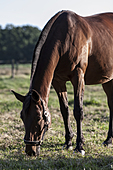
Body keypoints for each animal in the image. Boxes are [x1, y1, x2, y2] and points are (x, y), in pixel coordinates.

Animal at [11, 9, 112, 155]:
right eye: (22, 116)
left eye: (38, 117)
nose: (31, 150)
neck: (65, 38)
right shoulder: (58, 81)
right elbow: (65, 110)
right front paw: (68, 143)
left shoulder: (78, 76)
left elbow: (78, 110)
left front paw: (79, 146)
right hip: (107, 80)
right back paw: (108, 140)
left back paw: (108, 140)